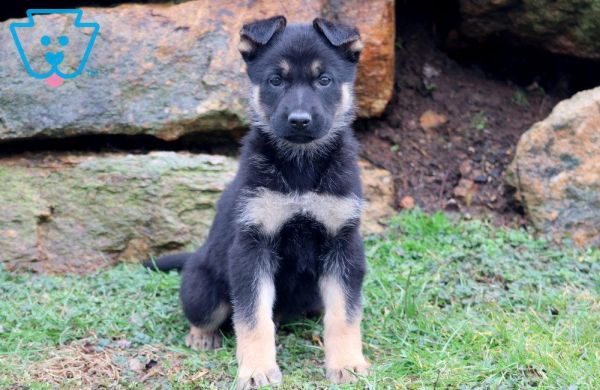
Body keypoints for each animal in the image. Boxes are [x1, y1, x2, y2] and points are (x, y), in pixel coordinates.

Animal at [148, 14, 368, 386]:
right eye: (275, 81)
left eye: (324, 80)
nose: (299, 121)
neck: (300, 165)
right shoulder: (252, 249)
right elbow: (252, 319)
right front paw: (257, 370)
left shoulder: (343, 244)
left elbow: (344, 315)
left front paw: (348, 364)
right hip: (205, 290)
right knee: (205, 313)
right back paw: (201, 335)